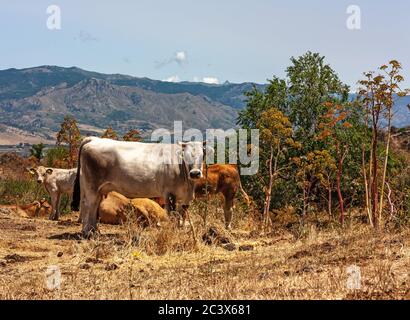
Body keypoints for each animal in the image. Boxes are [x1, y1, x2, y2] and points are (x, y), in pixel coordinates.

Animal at [71, 136, 210, 236]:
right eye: (185, 155)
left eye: (202, 155)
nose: (195, 173)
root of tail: (94, 139)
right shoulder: (169, 194)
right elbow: (172, 215)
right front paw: (173, 232)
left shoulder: (185, 198)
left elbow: (182, 215)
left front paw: (180, 230)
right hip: (91, 186)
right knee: (89, 205)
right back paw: (88, 232)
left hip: (98, 188)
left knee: (92, 205)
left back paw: (94, 230)